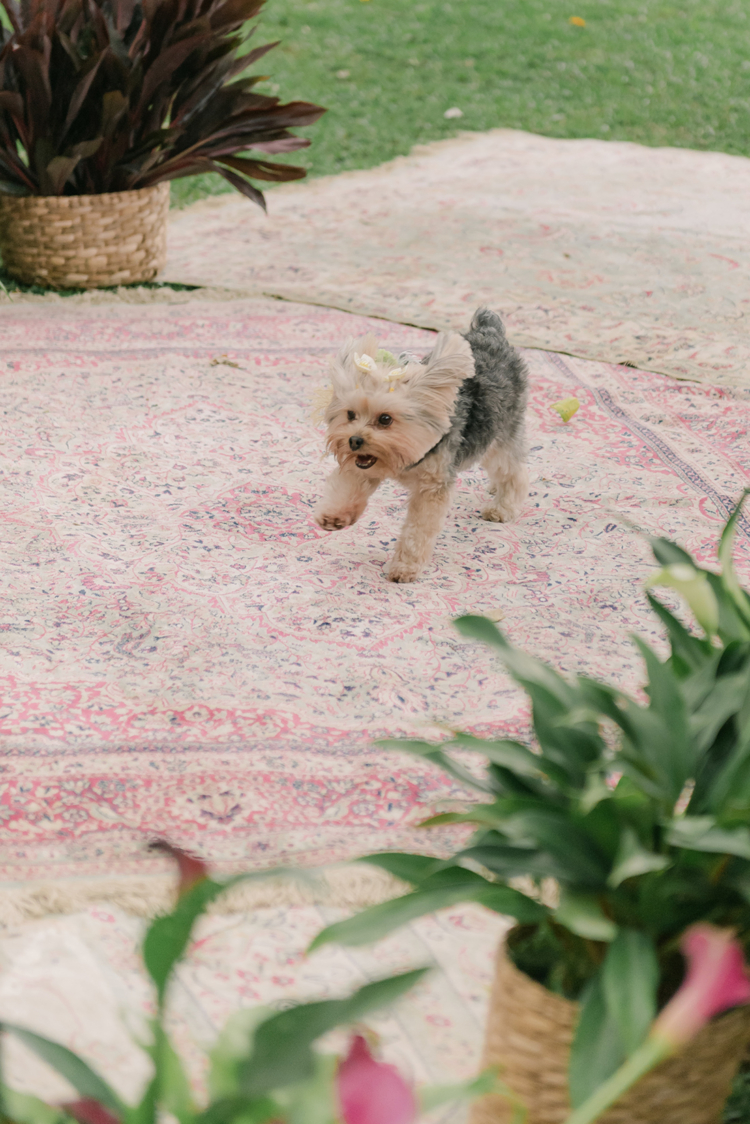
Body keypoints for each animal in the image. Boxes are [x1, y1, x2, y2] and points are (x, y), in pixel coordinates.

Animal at [310, 310, 528, 584]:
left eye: (385, 419)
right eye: (350, 414)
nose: (354, 440)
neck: (403, 458)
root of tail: (490, 330)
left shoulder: (431, 489)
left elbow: (417, 533)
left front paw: (405, 567)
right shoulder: (364, 466)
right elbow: (347, 489)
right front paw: (336, 515)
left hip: (501, 434)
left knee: (513, 473)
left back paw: (502, 508)